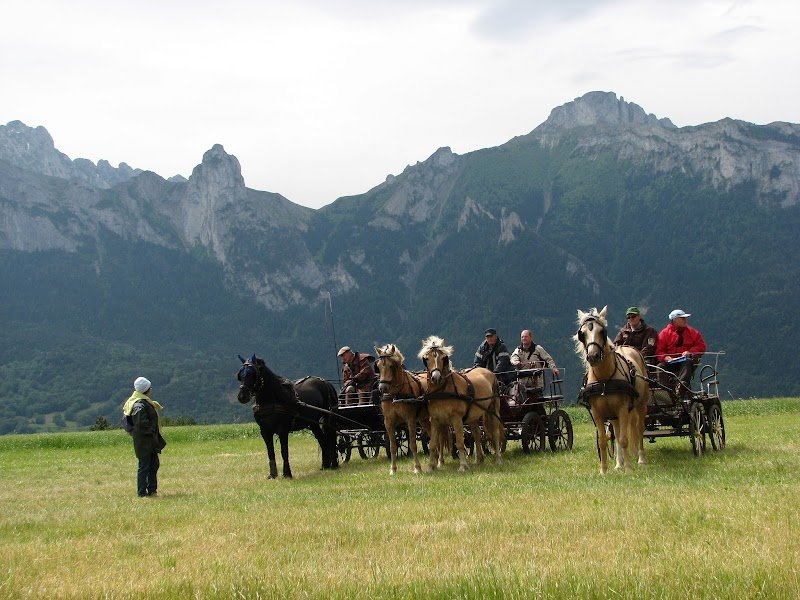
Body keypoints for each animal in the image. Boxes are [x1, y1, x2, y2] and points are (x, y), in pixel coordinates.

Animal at [374, 344, 431, 475]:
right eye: (378, 366)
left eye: (392, 365)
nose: (382, 387)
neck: (395, 395)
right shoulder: (389, 422)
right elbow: (393, 446)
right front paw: (393, 469)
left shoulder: (410, 420)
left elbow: (413, 444)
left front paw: (417, 467)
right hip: (424, 420)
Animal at [418, 335, 504, 472]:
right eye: (426, 358)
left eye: (443, 358)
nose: (436, 377)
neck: (442, 391)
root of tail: (489, 372)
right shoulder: (435, 420)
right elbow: (433, 444)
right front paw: (431, 467)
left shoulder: (457, 419)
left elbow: (459, 442)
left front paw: (463, 466)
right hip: (473, 416)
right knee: (477, 435)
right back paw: (479, 460)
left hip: (493, 409)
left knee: (495, 432)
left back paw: (498, 459)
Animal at [574, 307, 649, 474]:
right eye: (582, 333)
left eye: (602, 331)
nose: (593, 356)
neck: (604, 380)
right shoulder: (597, 412)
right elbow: (603, 440)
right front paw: (604, 470)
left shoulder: (623, 408)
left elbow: (624, 439)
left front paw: (629, 469)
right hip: (614, 415)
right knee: (617, 431)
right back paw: (618, 464)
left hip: (640, 405)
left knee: (639, 429)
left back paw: (641, 460)